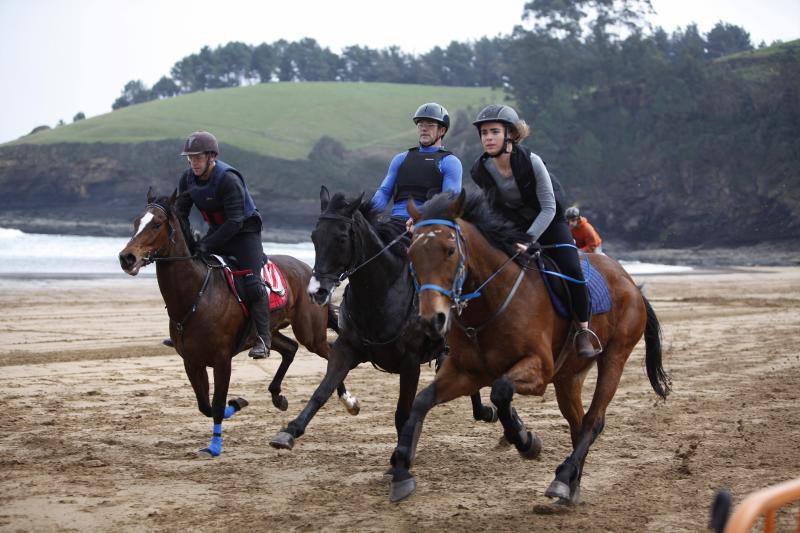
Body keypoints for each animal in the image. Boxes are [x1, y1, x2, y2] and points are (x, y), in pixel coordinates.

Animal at [118, 188, 356, 458]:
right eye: (136, 222)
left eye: (156, 224)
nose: (126, 258)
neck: (197, 294)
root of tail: (309, 271)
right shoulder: (191, 361)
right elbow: (206, 405)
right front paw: (238, 403)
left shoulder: (222, 360)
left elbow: (217, 404)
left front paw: (214, 446)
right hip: (267, 333)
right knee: (290, 348)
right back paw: (278, 396)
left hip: (310, 333)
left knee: (329, 352)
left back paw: (349, 401)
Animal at [268, 186, 496, 448]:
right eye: (314, 237)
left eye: (342, 238)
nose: (317, 291)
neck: (382, 295)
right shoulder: (346, 349)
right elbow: (321, 392)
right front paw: (290, 430)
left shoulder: (410, 362)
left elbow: (402, 414)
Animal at [388, 190, 668, 502]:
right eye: (411, 255)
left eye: (450, 250)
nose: (431, 319)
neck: (490, 303)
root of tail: (631, 283)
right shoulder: (467, 372)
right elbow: (422, 401)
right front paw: (401, 470)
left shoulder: (539, 369)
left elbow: (500, 391)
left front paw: (526, 441)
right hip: (569, 376)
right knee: (578, 422)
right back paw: (572, 484)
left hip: (615, 356)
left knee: (594, 420)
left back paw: (562, 478)